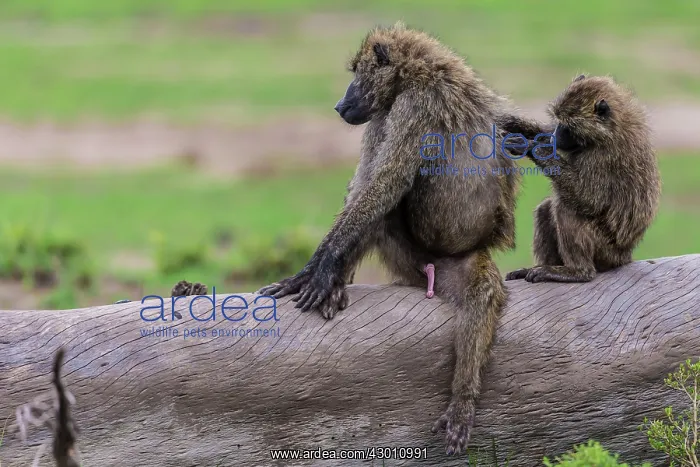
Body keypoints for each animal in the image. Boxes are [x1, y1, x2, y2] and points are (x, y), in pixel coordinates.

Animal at [257, 22, 520, 455]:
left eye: (356, 73)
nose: (338, 104)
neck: (419, 72)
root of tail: (429, 267)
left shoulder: (411, 106)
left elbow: (385, 182)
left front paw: (319, 268)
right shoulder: (385, 111)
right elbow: (367, 184)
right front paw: (316, 274)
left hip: (455, 260)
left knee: (479, 296)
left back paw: (462, 400)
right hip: (407, 260)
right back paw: (336, 287)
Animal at [499, 74, 661, 283]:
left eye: (568, 126)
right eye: (558, 121)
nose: (555, 136)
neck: (612, 128)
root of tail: (624, 257)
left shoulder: (602, 158)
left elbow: (589, 200)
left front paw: (531, 147)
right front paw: (514, 123)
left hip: (604, 250)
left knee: (565, 207)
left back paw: (577, 272)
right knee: (547, 208)